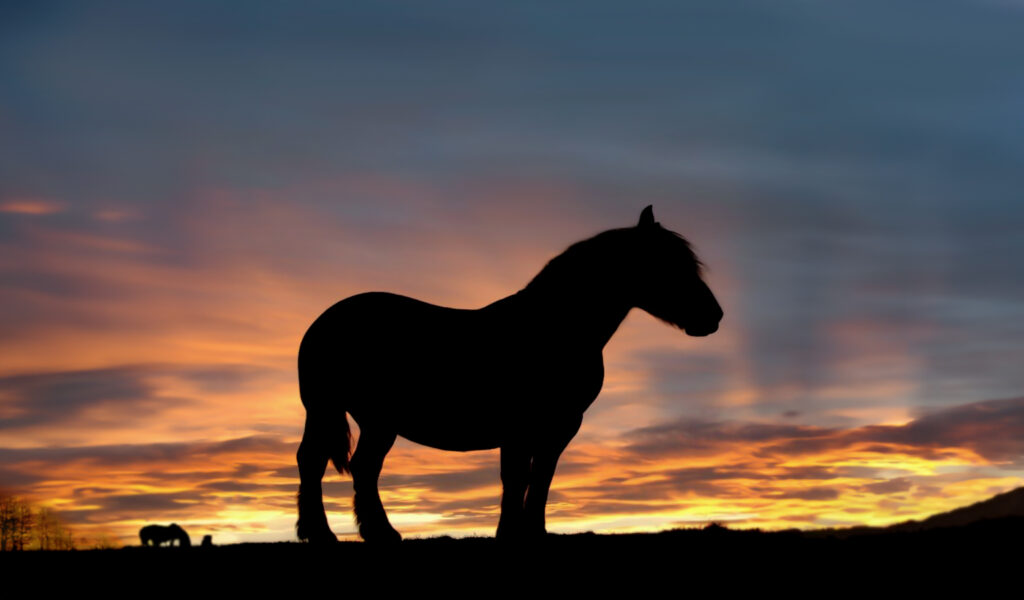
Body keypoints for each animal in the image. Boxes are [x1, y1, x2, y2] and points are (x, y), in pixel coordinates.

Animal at [296, 205, 724, 540]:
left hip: (375, 421)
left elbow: (541, 477)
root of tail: (324, 321)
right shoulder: (520, 427)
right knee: (317, 463)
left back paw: (377, 533)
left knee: (360, 468)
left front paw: (534, 532)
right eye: (667, 265)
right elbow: (517, 477)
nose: (714, 317)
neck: (553, 329)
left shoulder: (560, 426)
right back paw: (325, 534)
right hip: (333, 410)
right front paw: (510, 534)